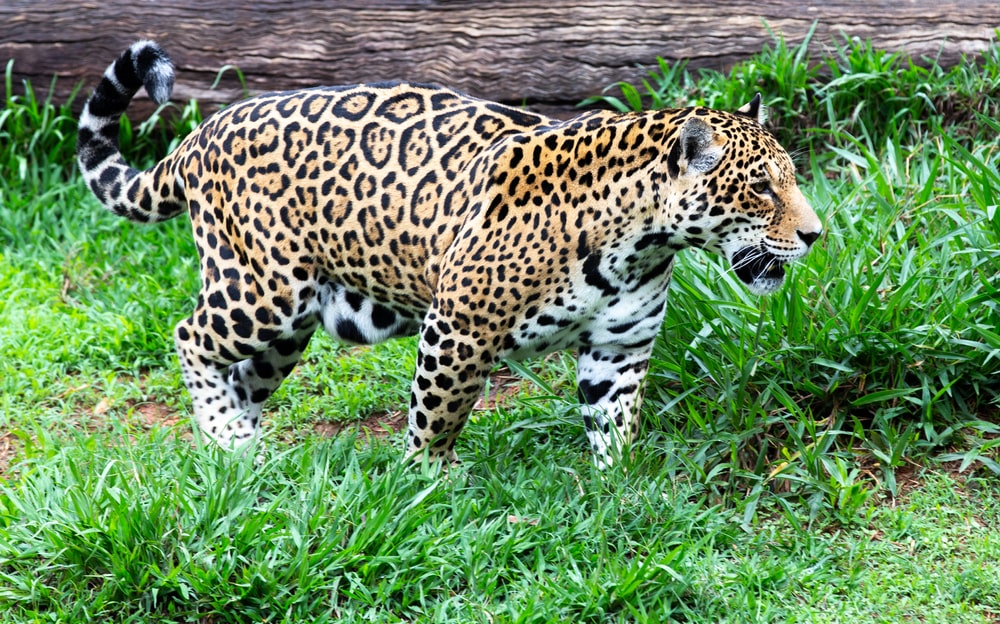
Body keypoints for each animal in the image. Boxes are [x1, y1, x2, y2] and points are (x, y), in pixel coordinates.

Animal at [77, 41, 822, 468]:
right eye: (762, 187)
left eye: (788, 179)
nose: (815, 235)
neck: (640, 240)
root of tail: (199, 135)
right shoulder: (459, 329)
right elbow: (437, 417)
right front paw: (423, 484)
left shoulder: (621, 346)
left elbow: (616, 425)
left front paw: (621, 494)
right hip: (263, 291)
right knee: (189, 335)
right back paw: (228, 439)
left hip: (292, 325)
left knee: (244, 380)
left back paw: (242, 458)